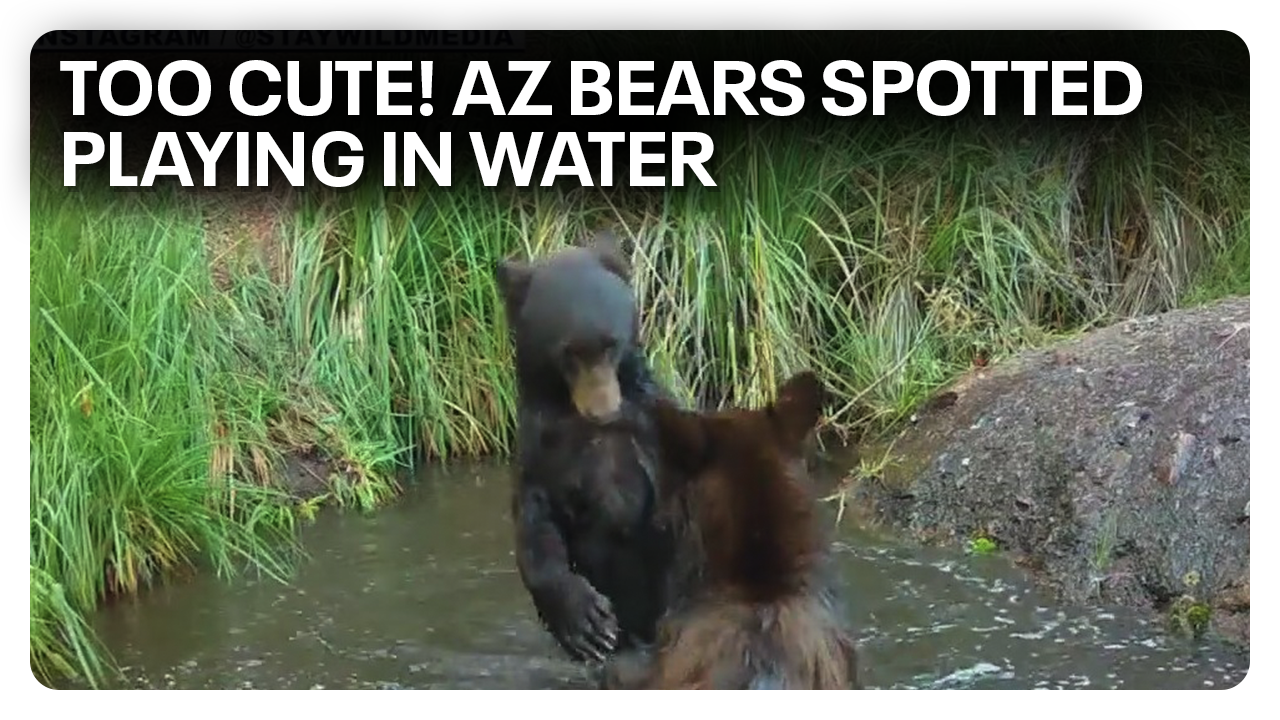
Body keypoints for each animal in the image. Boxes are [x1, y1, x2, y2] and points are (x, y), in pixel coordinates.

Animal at [494, 230, 677, 664]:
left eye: (611, 344)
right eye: (568, 353)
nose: (602, 410)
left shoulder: (650, 432)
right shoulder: (544, 450)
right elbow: (536, 528)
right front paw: (586, 624)